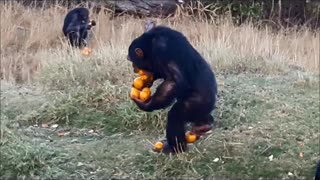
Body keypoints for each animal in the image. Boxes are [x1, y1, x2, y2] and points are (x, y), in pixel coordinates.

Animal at [126, 20, 219, 153]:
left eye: (132, 60)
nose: (134, 68)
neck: (151, 42)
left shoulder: (162, 50)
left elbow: (174, 80)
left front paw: (146, 105)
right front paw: (146, 81)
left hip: (199, 101)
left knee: (176, 115)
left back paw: (175, 148)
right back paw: (203, 125)